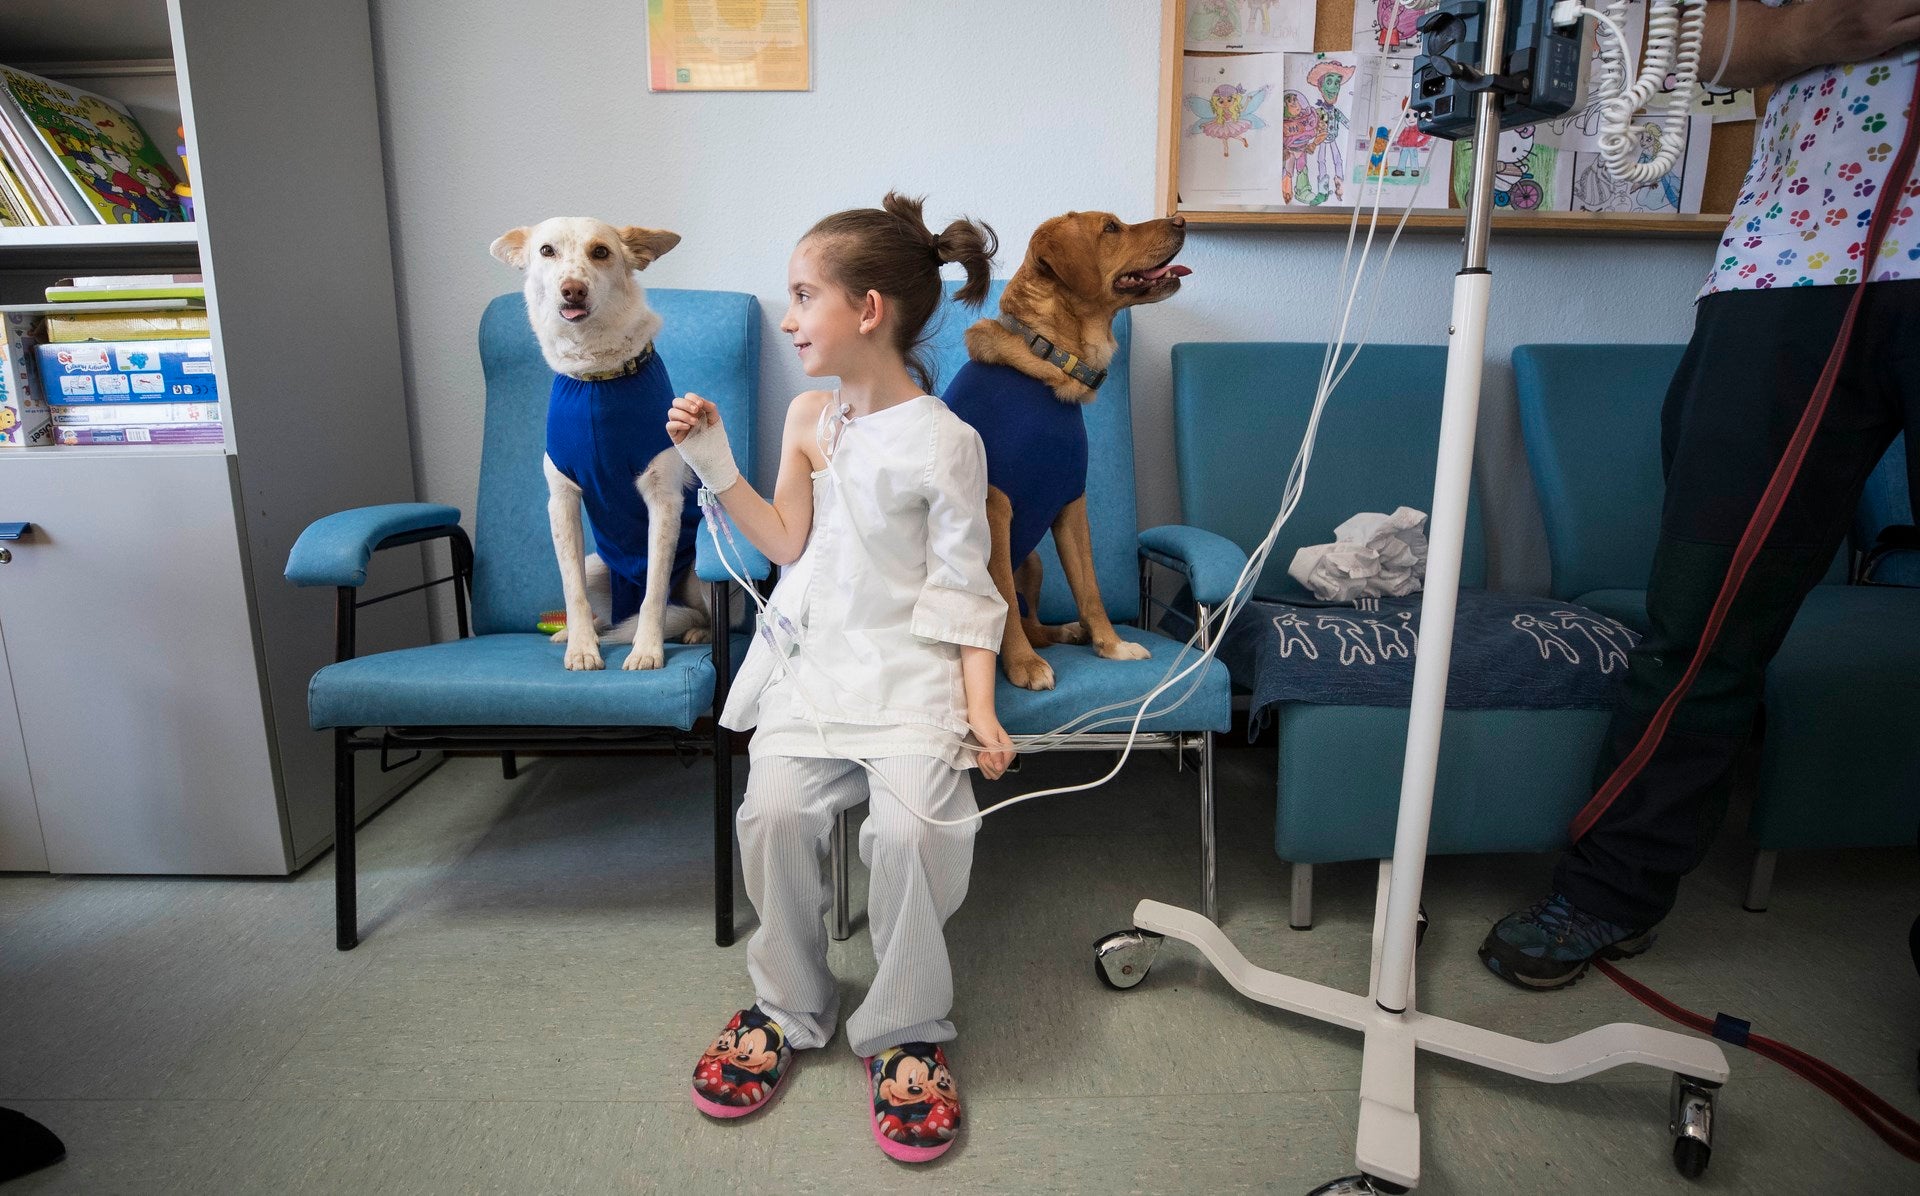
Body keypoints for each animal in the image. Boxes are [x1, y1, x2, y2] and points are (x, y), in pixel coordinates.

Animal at [487, 217, 714, 675]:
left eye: (601, 252)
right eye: (547, 251)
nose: (573, 289)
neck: (596, 375)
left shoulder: (662, 500)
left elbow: (654, 593)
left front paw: (646, 649)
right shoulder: (562, 500)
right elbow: (571, 589)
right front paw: (581, 648)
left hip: (698, 569)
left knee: (700, 614)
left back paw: (696, 632)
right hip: (598, 564)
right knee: (601, 608)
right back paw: (576, 632)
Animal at [940, 210, 1182, 687]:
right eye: (1111, 228)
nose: (1182, 220)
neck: (1048, 358)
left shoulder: (1072, 501)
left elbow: (1090, 588)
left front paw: (1111, 645)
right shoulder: (994, 508)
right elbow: (1002, 599)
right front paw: (1024, 665)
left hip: (1033, 559)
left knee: (1034, 620)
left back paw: (1067, 631)